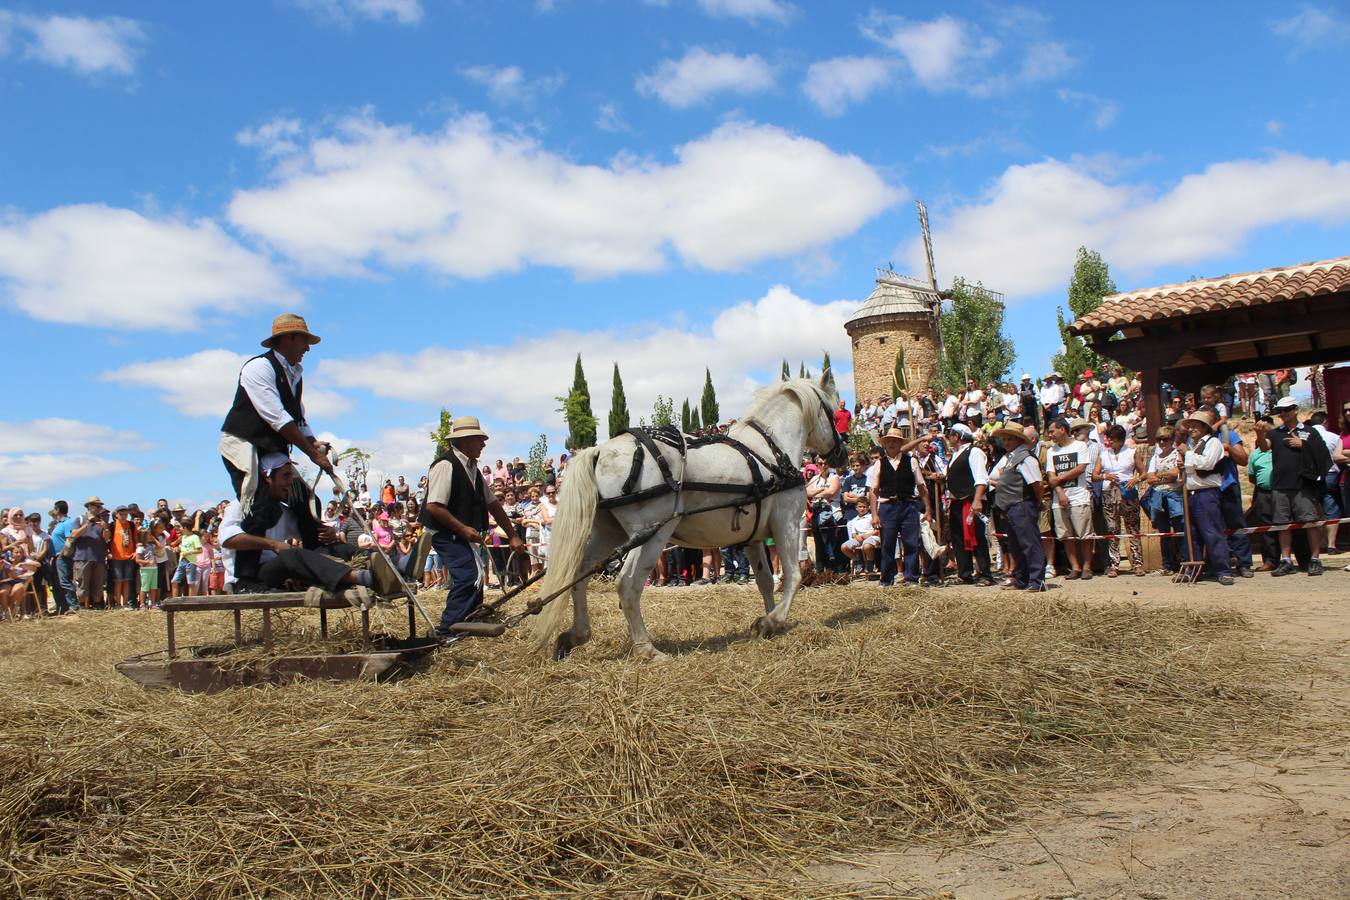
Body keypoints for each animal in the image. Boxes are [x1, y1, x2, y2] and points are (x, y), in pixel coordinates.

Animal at [534, 375, 842, 661]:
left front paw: (772, 623)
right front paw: (773, 620)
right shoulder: (786, 522)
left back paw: (575, 636)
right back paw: (646, 649)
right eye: (834, 411)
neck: (771, 449)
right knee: (627, 584)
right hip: (651, 534)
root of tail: (599, 450)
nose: (841, 452)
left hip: (609, 533)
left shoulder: (753, 538)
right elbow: (793, 575)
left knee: (579, 576)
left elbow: (765, 580)